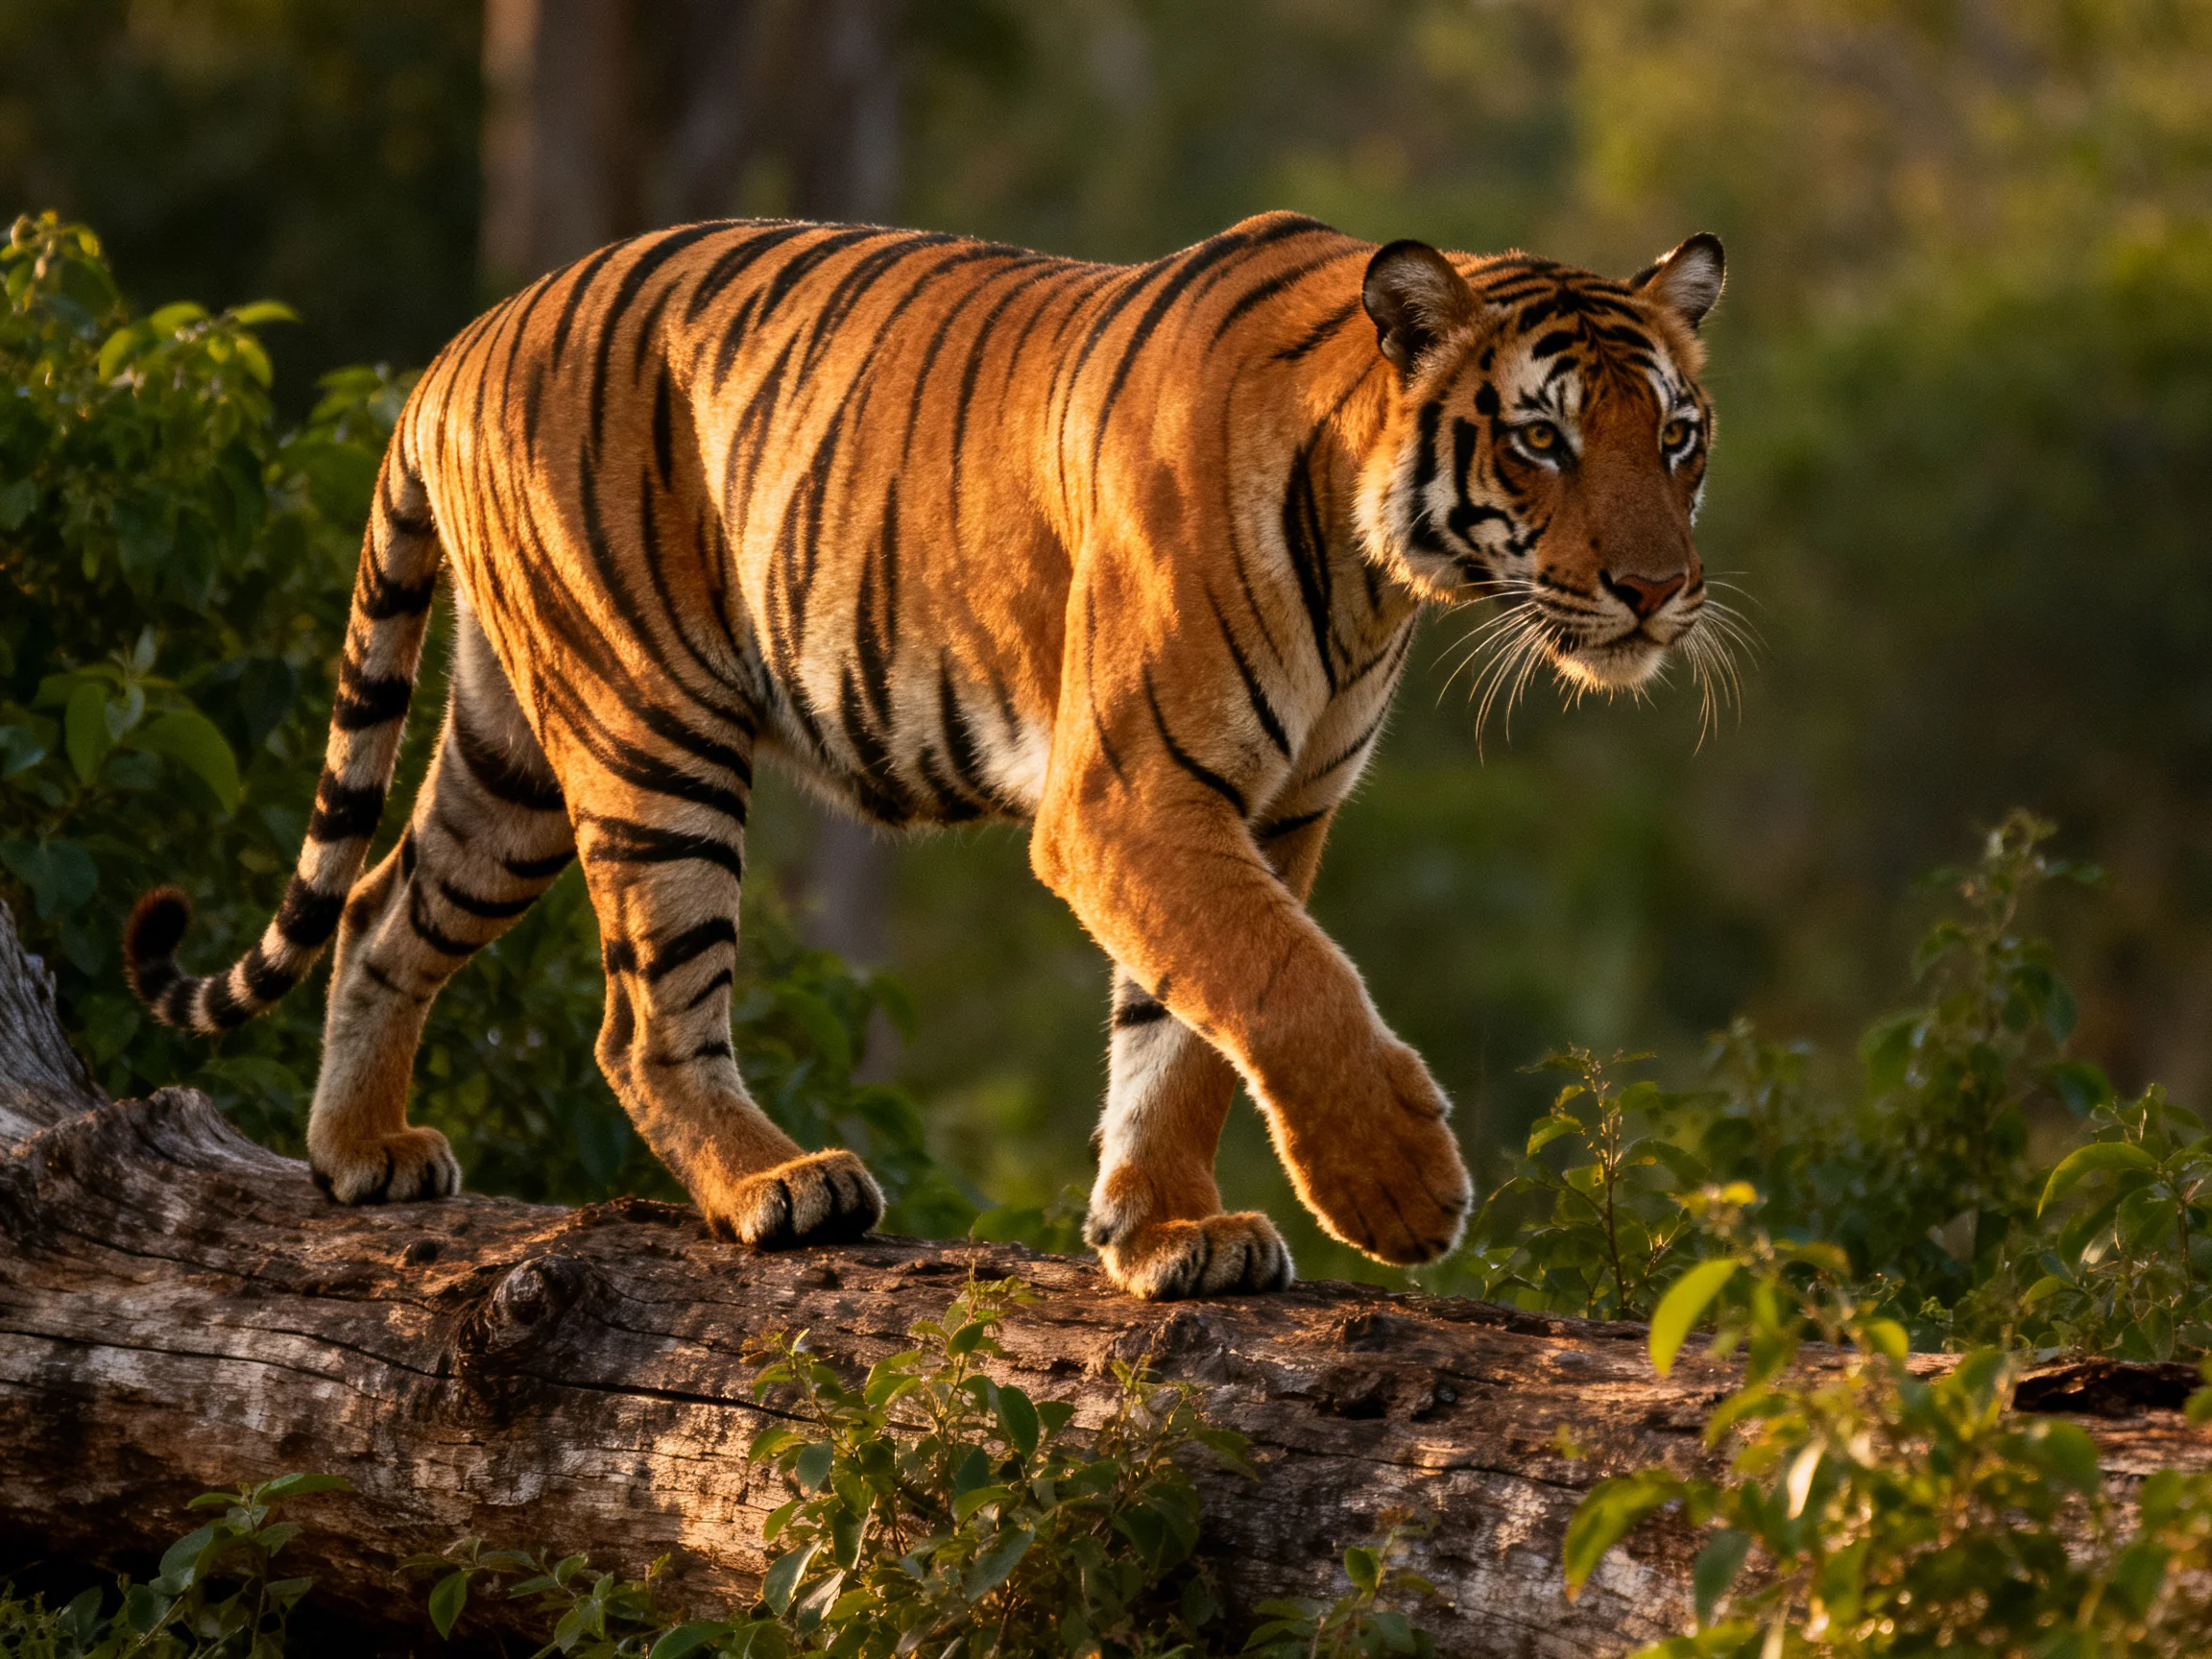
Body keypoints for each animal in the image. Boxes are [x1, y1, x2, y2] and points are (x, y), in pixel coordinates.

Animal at [123, 211, 1725, 1301]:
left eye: (1678, 437)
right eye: (1541, 441)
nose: (1658, 590)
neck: (1376, 569)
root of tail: (462, 342)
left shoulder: (1266, 810)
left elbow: (1185, 1024)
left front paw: (1162, 1230)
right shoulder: (1129, 795)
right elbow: (1286, 981)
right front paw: (1397, 1189)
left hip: (515, 747)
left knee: (383, 905)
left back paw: (359, 1154)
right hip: (651, 730)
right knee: (639, 1019)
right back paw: (778, 1184)